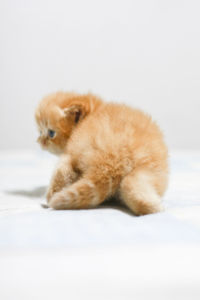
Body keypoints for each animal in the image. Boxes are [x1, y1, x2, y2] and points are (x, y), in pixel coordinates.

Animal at [35, 92, 168, 216]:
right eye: (40, 131)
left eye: (51, 133)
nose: (40, 141)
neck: (95, 111)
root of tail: (111, 163)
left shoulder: (69, 153)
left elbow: (60, 173)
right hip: (149, 170)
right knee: (130, 185)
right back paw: (155, 207)